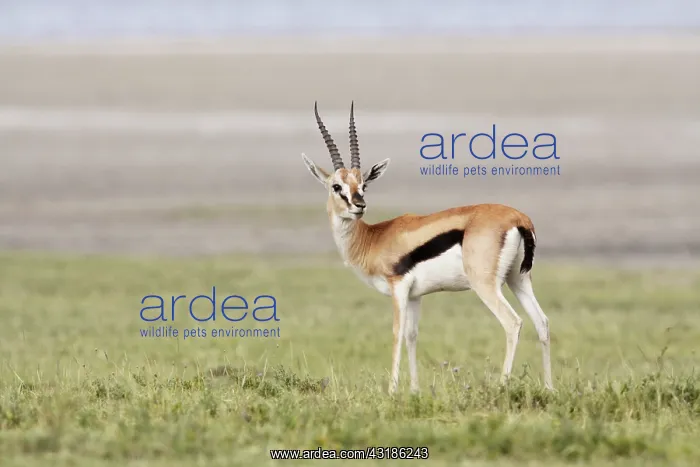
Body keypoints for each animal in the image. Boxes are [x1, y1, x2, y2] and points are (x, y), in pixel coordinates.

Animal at [301, 102, 553, 394]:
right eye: (337, 186)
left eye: (363, 185)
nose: (359, 205)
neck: (374, 238)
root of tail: (519, 219)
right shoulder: (415, 295)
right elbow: (412, 335)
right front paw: (414, 391)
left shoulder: (398, 287)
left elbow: (397, 333)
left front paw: (392, 391)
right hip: (518, 280)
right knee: (541, 321)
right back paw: (550, 388)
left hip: (486, 286)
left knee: (513, 323)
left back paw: (502, 386)